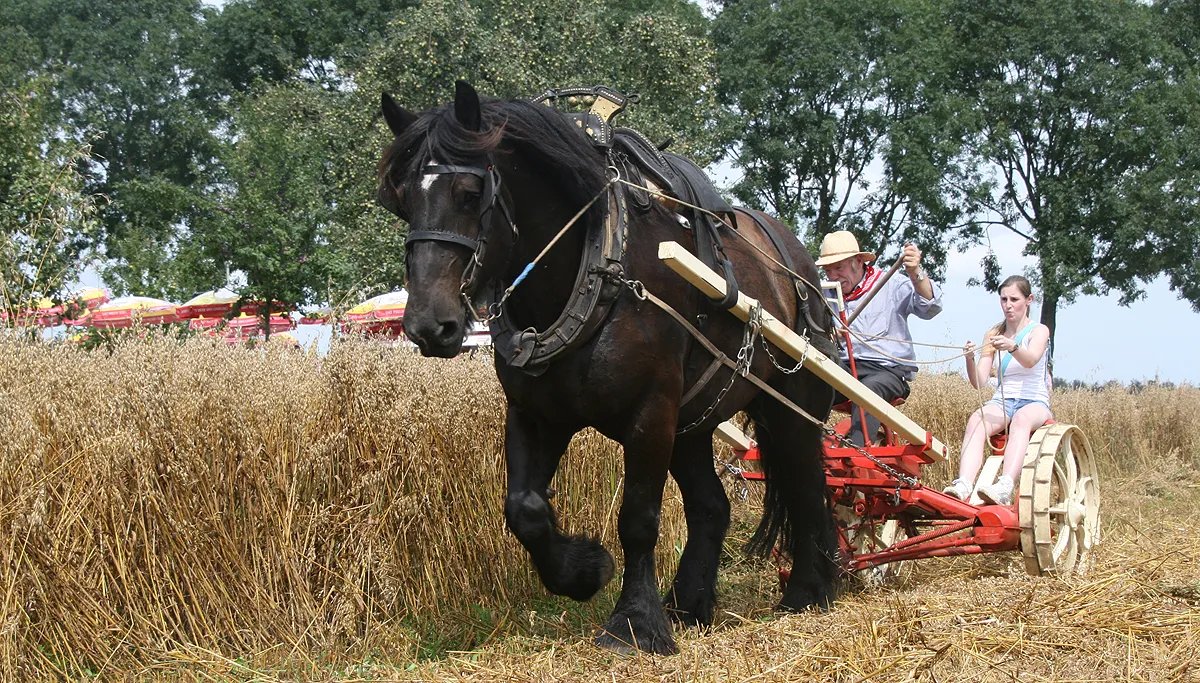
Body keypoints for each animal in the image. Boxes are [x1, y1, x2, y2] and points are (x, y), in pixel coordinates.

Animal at [379, 82, 840, 652]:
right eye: (402, 202)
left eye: (469, 192)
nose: (427, 324)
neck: (595, 269)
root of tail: (797, 264)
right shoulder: (535, 415)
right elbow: (523, 509)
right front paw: (582, 572)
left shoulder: (651, 413)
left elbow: (638, 520)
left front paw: (635, 623)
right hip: (692, 423)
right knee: (713, 506)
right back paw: (688, 604)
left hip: (789, 406)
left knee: (806, 486)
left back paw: (808, 591)